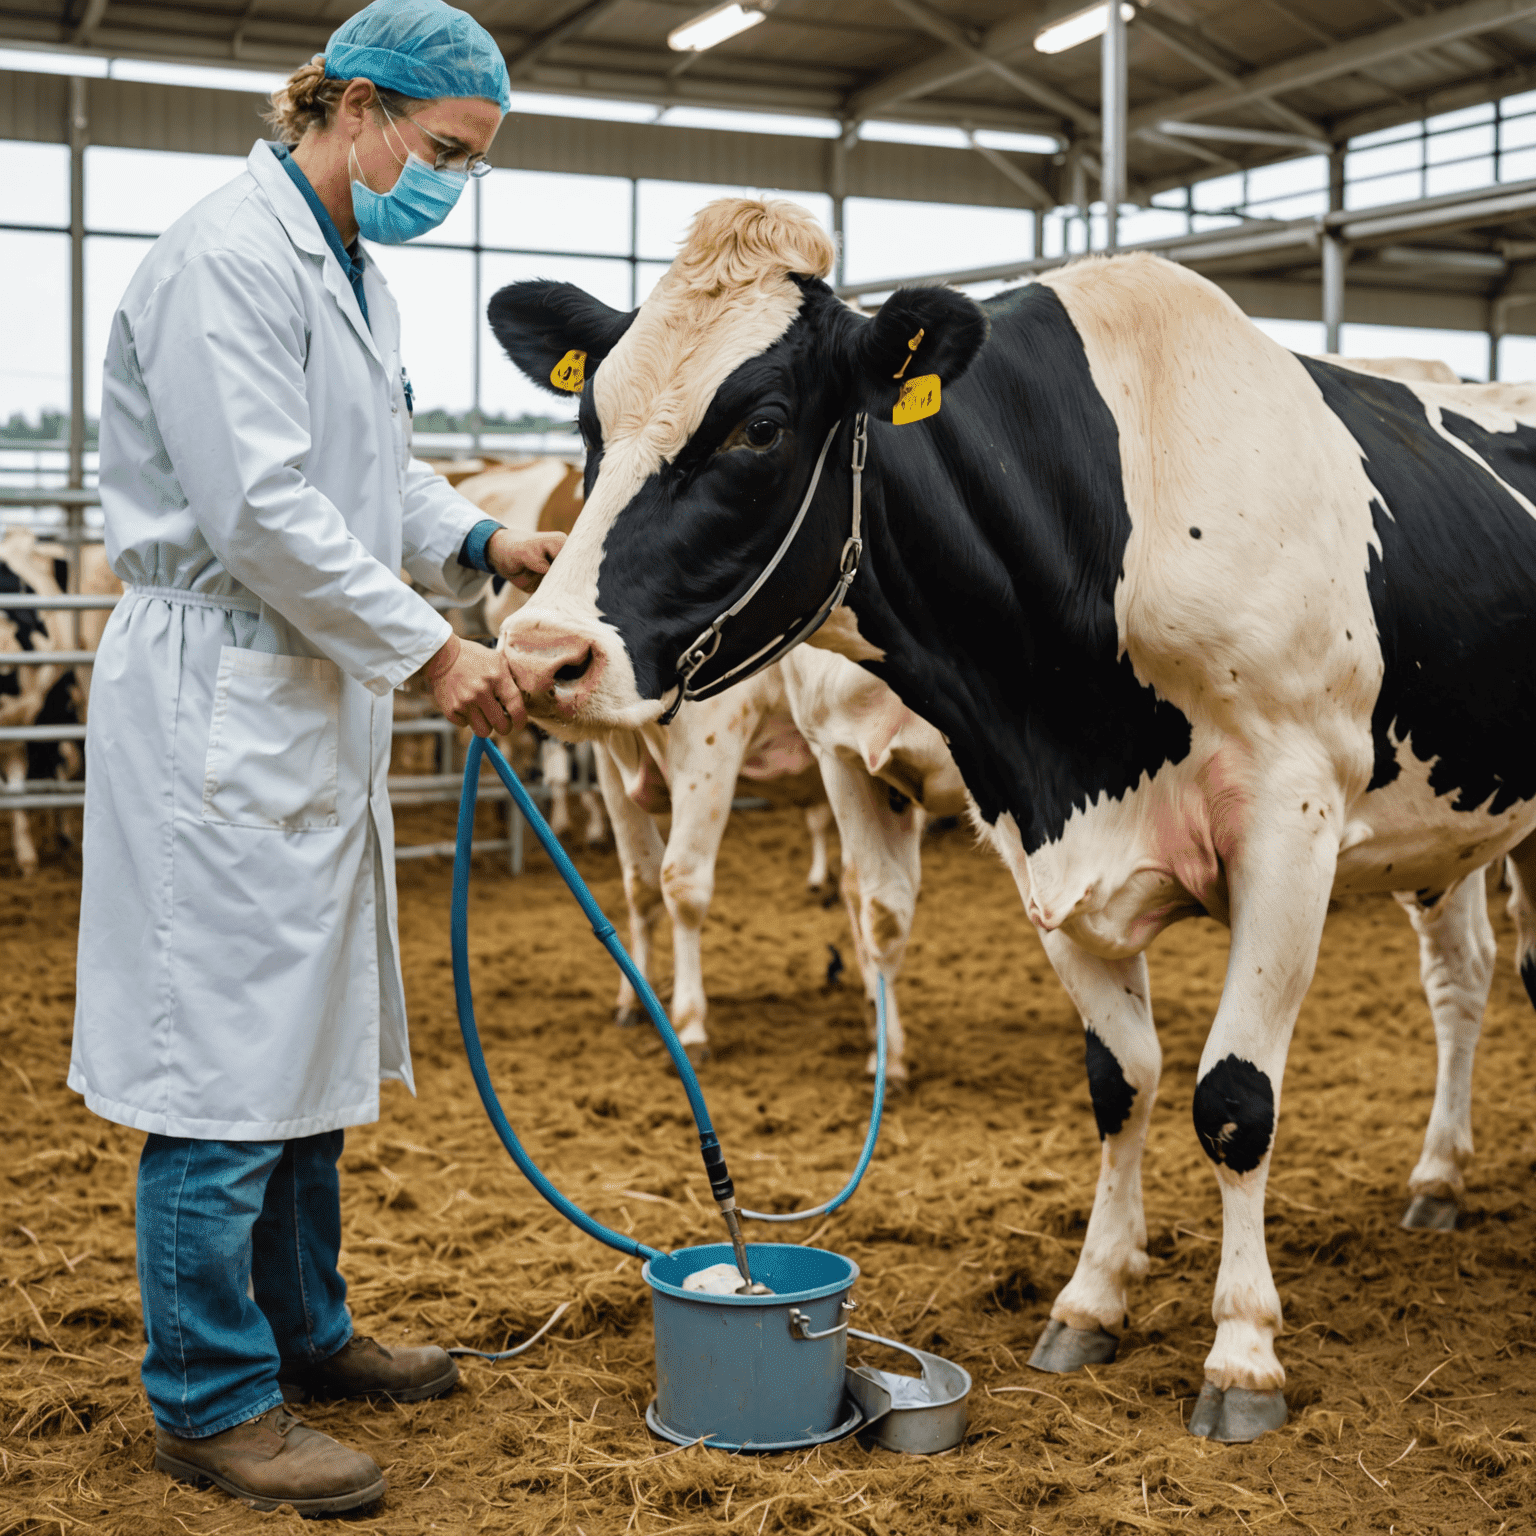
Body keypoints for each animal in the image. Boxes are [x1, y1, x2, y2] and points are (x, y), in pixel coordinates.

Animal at [485, 201, 1536, 1437]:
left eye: (761, 426)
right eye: (588, 422)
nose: (542, 657)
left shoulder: (1294, 817)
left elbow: (1233, 1098)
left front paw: (1241, 1355)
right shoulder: (1039, 837)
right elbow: (1121, 1080)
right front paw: (1091, 1299)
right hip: (1448, 826)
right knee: (1462, 980)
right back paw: (1437, 1177)